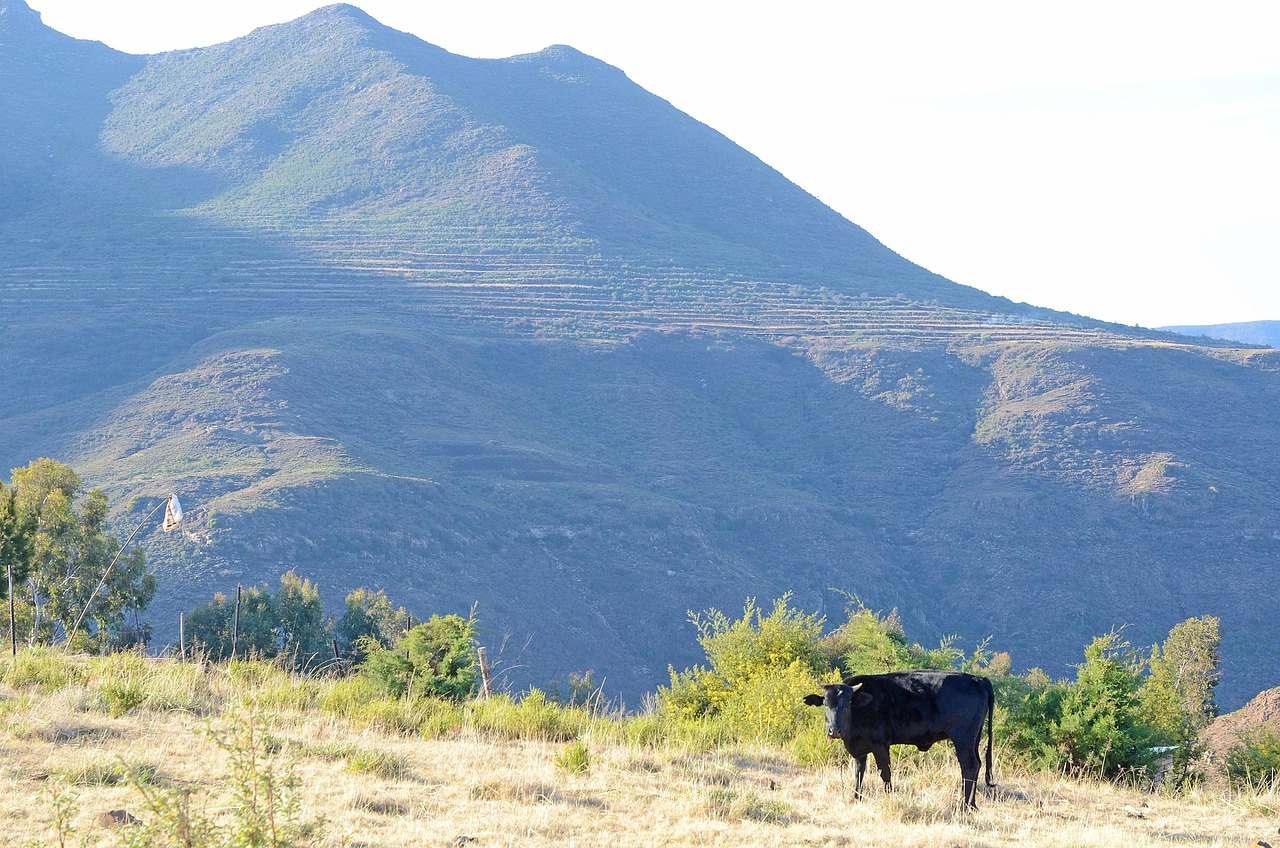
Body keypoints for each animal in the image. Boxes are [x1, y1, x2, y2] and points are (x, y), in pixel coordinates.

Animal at [798, 676, 998, 809]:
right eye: (825, 703)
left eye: (847, 704)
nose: (834, 731)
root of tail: (978, 679)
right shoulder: (860, 749)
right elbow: (859, 773)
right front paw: (856, 797)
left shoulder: (880, 745)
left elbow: (885, 773)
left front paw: (889, 797)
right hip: (974, 738)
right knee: (977, 764)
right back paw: (972, 804)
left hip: (963, 739)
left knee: (969, 766)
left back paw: (964, 805)